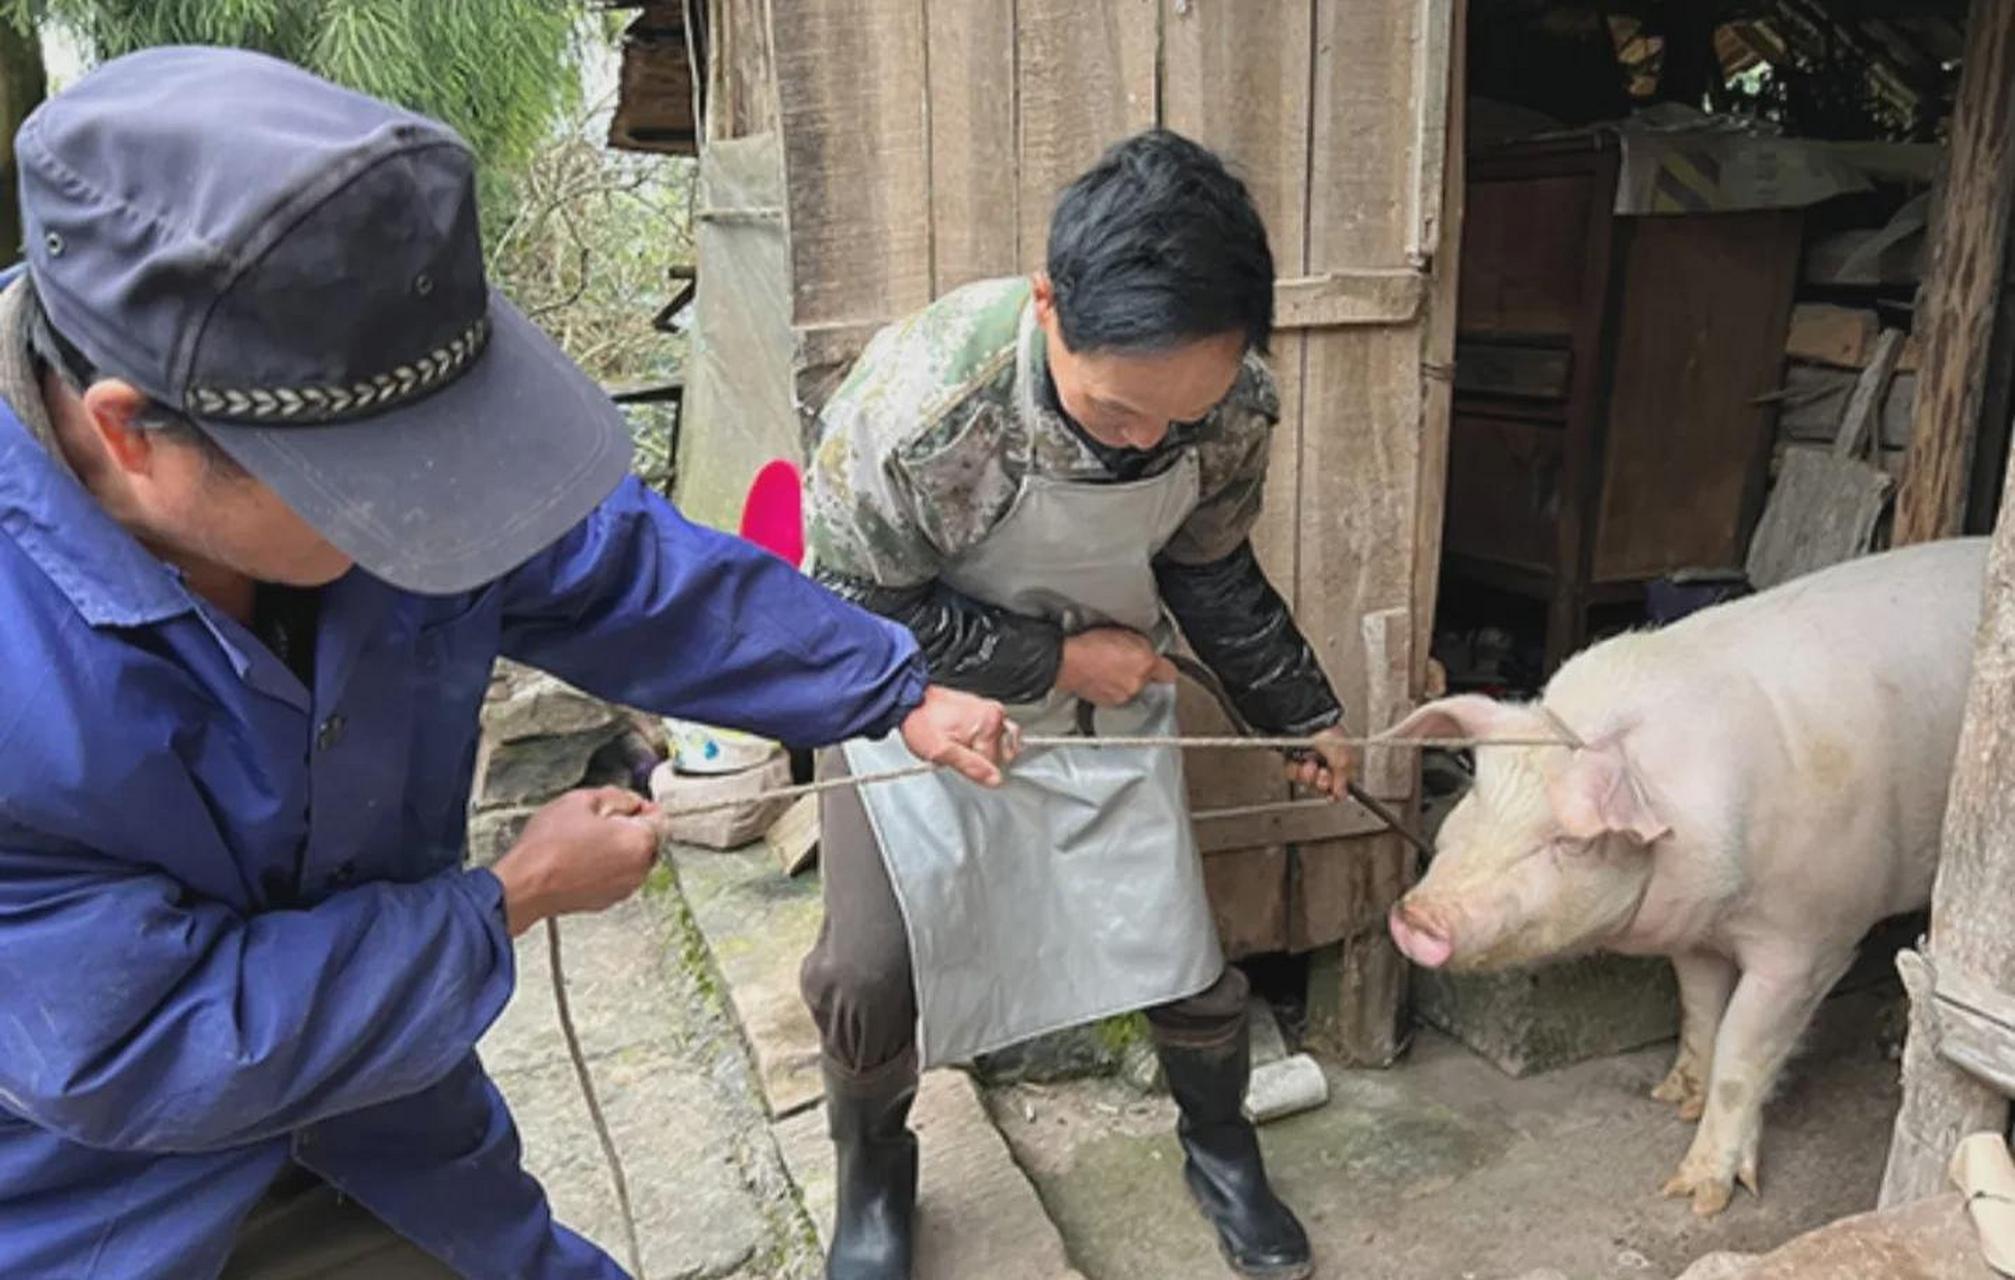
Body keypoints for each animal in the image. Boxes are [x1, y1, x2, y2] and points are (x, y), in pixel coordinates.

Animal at [1386, 540, 1982, 1225]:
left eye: (1568, 840)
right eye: (1477, 794)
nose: (1415, 917)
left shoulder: (1809, 944)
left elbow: (1741, 1054)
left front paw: (1697, 1196)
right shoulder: (1696, 935)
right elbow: (1699, 1011)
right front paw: (1671, 1097)